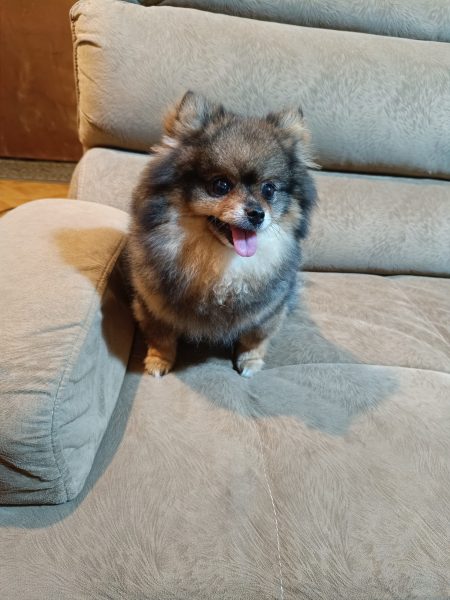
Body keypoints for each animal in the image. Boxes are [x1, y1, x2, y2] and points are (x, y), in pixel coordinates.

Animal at [127, 91, 317, 377]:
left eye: (269, 189)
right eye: (221, 185)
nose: (257, 213)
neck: (220, 266)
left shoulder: (268, 312)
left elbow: (254, 339)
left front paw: (250, 361)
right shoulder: (152, 304)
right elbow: (162, 338)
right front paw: (158, 362)